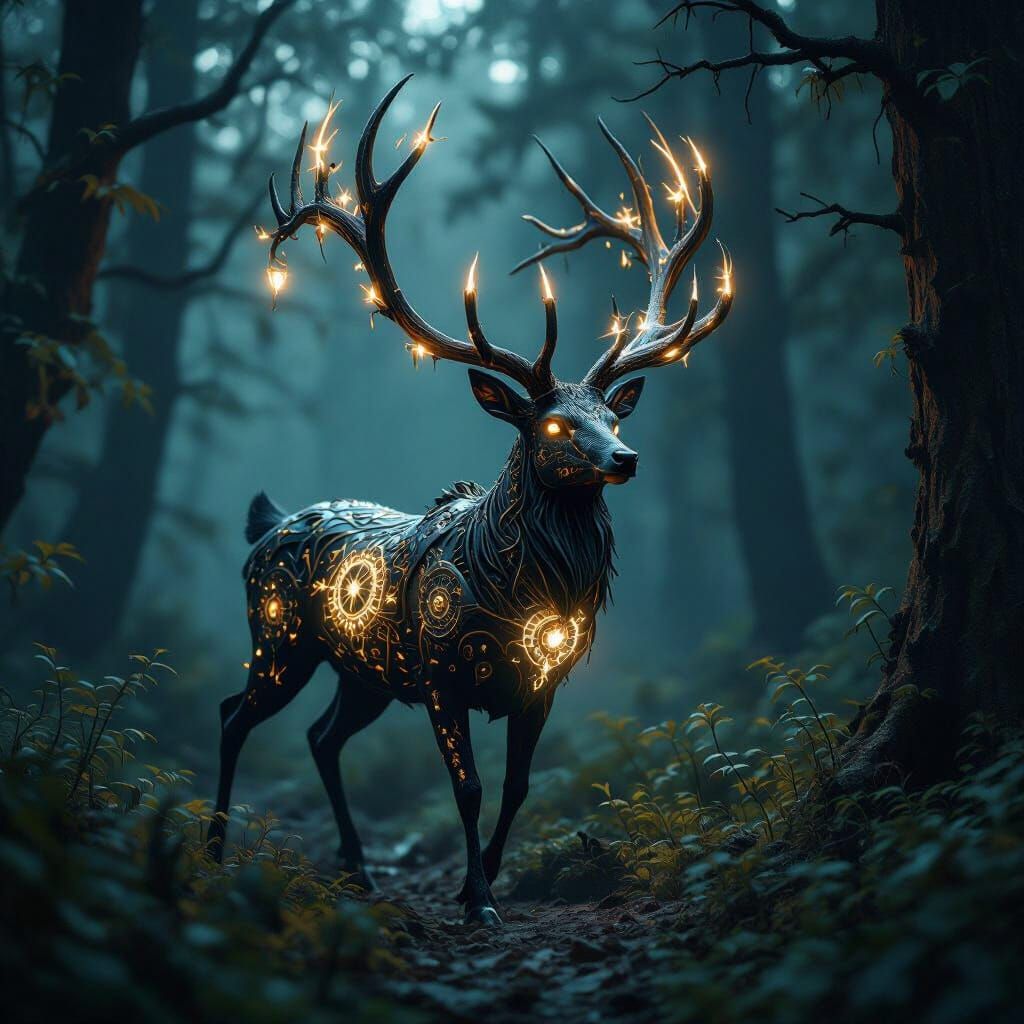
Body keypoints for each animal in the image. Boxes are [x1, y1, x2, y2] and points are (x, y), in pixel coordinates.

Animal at [207, 76, 733, 927]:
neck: (529, 591)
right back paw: (215, 848)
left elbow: (517, 787)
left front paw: (478, 879)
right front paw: (478, 901)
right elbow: (469, 786)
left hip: (363, 671)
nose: (625, 458)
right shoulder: (442, 675)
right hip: (282, 640)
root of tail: (269, 520)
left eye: (614, 416)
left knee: (322, 737)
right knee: (232, 714)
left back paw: (358, 867)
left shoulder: (540, 685)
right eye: (553, 423)